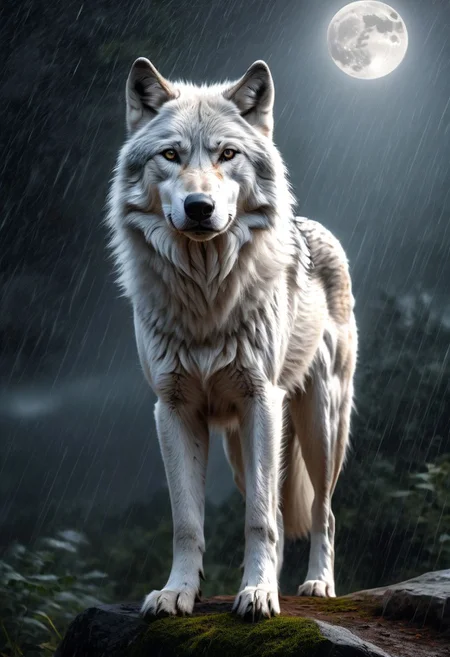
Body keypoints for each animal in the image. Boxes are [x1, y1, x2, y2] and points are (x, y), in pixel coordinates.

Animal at [106, 58, 357, 621]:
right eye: (171, 155)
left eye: (227, 154)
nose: (199, 206)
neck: (207, 297)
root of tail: (315, 226)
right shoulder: (173, 409)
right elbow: (188, 521)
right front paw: (178, 592)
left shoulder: (260, 399)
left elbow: (258, 519)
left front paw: (259, 595)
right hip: (240, 448)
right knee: (281, 513)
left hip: (318, 424)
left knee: (322, 513)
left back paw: (316, 586)